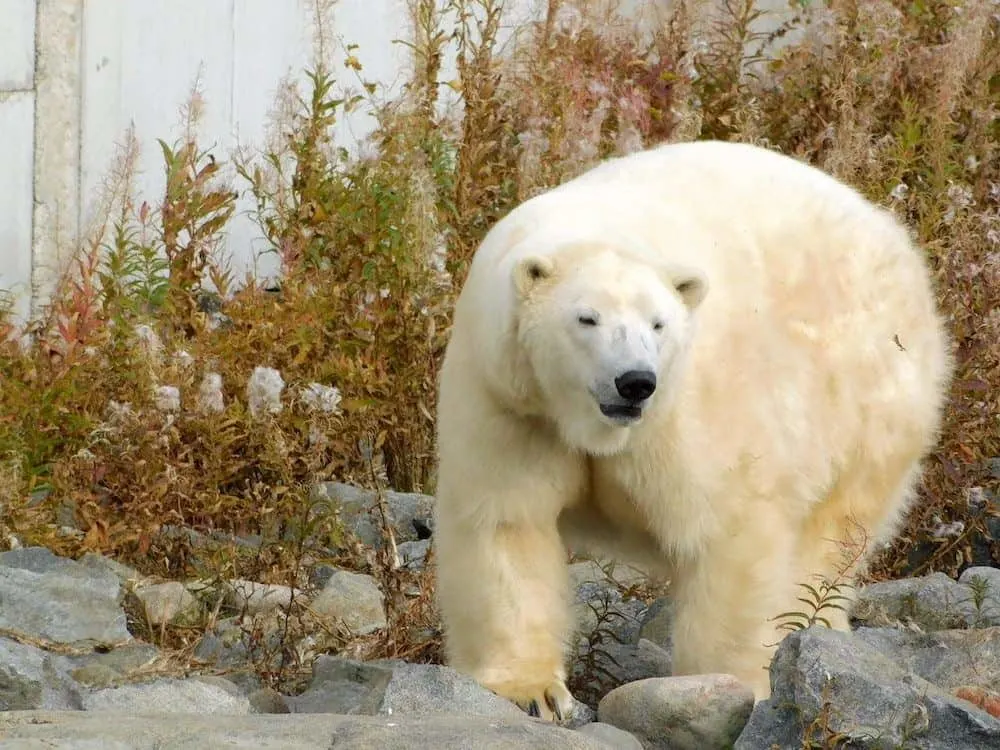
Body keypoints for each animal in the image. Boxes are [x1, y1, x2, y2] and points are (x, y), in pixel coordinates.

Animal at [432, 138, 952, 720]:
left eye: (658, 323)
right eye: (586, 318)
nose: (635, 382)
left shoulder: (690, 412)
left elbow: (727, 531)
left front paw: (730, 688)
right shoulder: (511, 400)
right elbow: (508, 522)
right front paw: (532, 692)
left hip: (869, 394)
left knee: (832, 532)